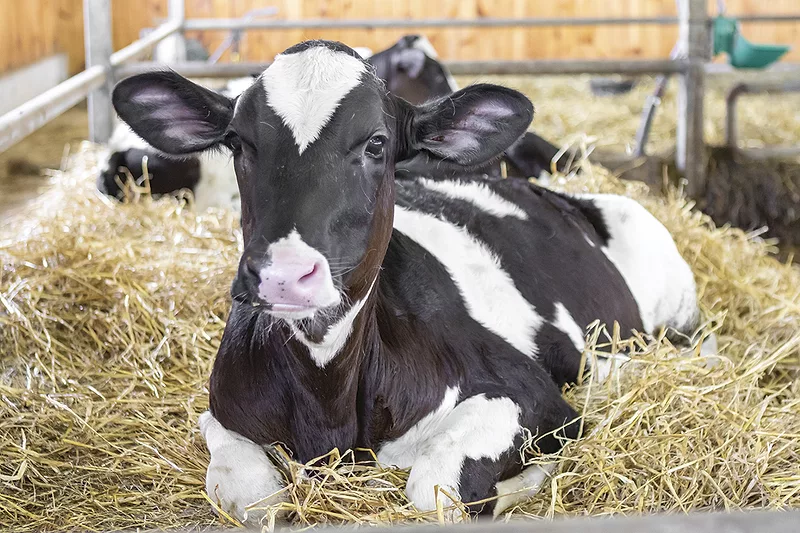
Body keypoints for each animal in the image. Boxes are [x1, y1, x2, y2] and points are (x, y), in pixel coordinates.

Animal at [112, 40, 703, 522]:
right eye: (237, 143)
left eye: (376, 144)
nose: (283, 275)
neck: (328, 405)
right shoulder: (224, 408)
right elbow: (249, 496)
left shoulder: (533, 397)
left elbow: (435, 489)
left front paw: (522, 483)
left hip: (670, 287)